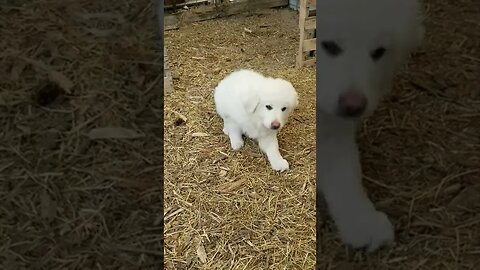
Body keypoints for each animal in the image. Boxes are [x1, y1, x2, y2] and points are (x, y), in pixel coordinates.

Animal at [316, 0, 426, 251]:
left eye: (378, 52)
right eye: (330, 46)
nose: (353, 107)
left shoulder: (333, 129)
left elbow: (345, 173)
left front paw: (361, 222)